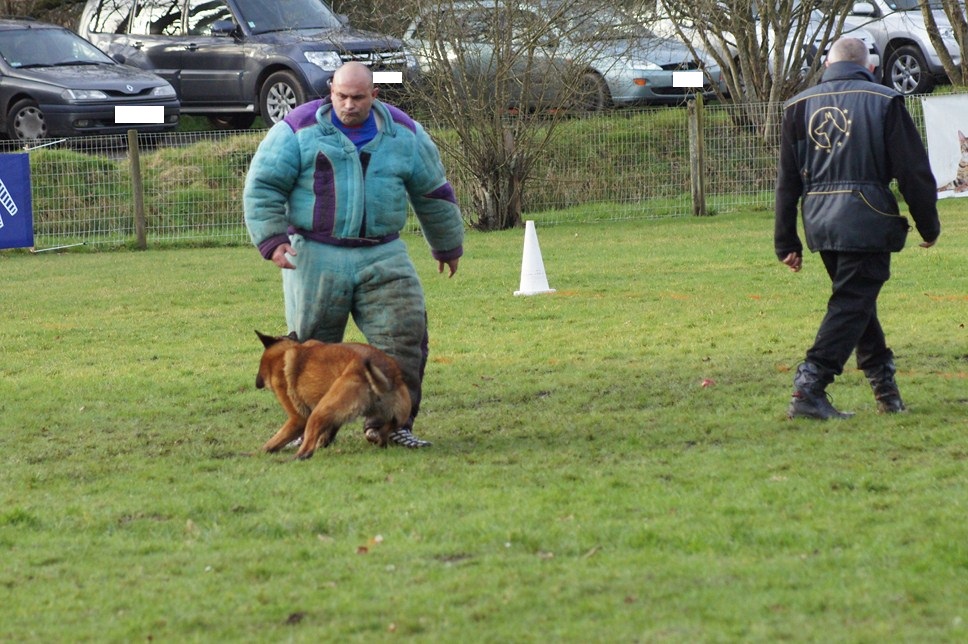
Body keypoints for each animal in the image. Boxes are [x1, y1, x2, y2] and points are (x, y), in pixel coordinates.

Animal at [255, 332, 410, 458]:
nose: (256, 383)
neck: (283, 353)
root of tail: (388, 372)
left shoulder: (298, 418)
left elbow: (275, 440)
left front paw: (258, 453)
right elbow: (330, 430)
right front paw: (324, 442)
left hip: (319, 412)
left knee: (306, 451)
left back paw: (288, 459)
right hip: (396, 417)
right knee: (384, 434)